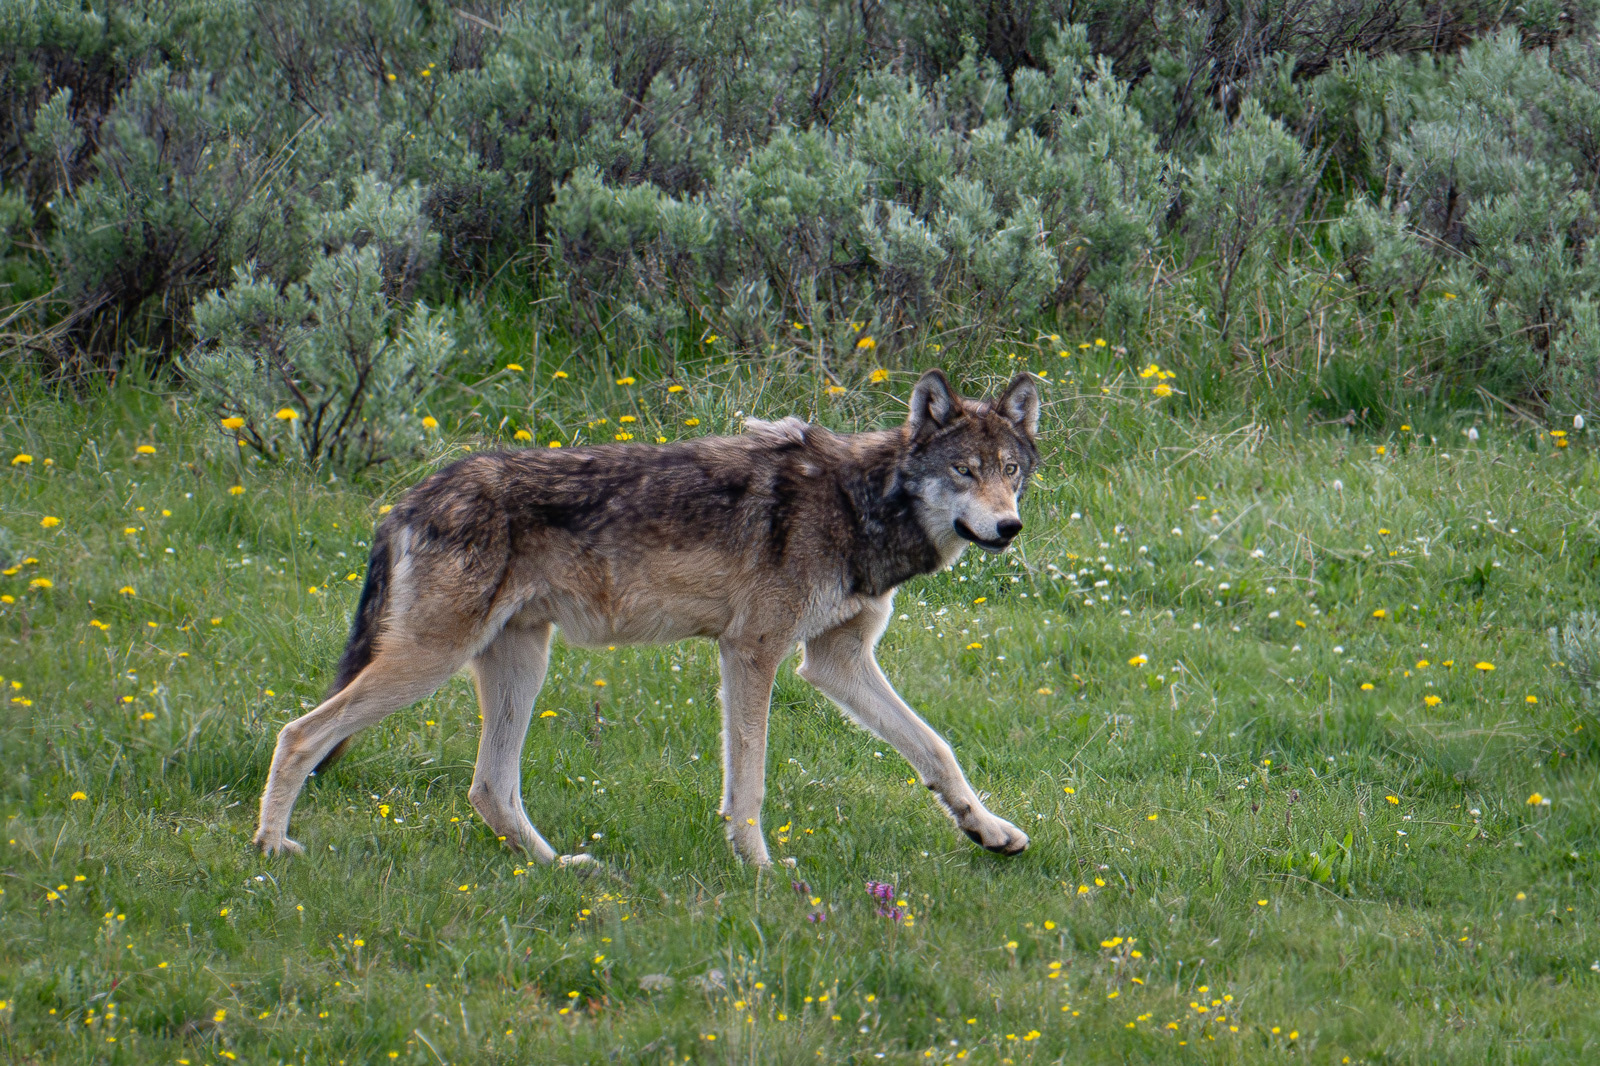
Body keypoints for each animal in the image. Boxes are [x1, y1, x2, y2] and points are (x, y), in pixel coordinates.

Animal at [253, 369, 1039, 866]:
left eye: (1011, 472)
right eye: (964, 470)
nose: (1008, 527)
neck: (860, 501)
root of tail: (408, 500)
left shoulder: (835, 662)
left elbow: (936, 749)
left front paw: (988, 830)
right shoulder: (753, 652)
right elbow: (749, 782)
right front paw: (761, 868)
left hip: (520, 663)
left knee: (489, 790)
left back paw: (561, 869)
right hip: (430, 661)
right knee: (298, 735)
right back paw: (270, 849)